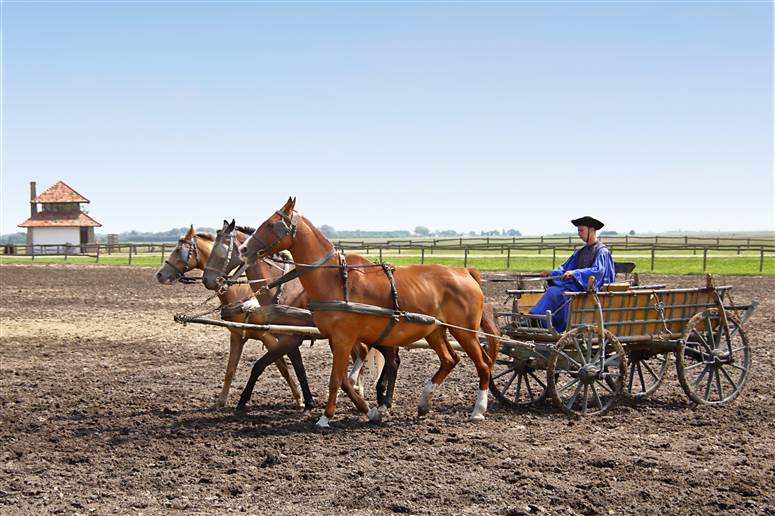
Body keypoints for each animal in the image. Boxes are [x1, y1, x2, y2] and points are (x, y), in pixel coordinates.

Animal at [156, 225, 310, 408]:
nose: (160, 274)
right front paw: (221, 401)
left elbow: (283, 367)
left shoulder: (270, 337)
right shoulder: (237, 336)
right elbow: (230, 369)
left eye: (179, 250)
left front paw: (299, 398)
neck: (244, 295)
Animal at [200, 220, 400, 414]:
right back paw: (378, 394)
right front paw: (308, 403)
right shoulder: (290, 338)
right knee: (388, 358)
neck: (281, 289)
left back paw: (379, 396)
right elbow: (298, 369)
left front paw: (243, 401)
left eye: (222, 249)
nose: (207, 280)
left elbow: (260, 365)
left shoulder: (290, 338)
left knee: (388, 359)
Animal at [239, 198, 500, 428]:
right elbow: (343, 379)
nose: (243, 249)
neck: (334, 279)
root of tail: (465, 272)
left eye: (271, 224)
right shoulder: (336, 339)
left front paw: (325, 418)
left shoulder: (343, 339)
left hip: (465, 332)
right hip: (434, 330)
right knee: (449, 360)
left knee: (483, 365)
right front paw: (370, 411)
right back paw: (424, 402)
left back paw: (478, 410)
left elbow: (336, 379)